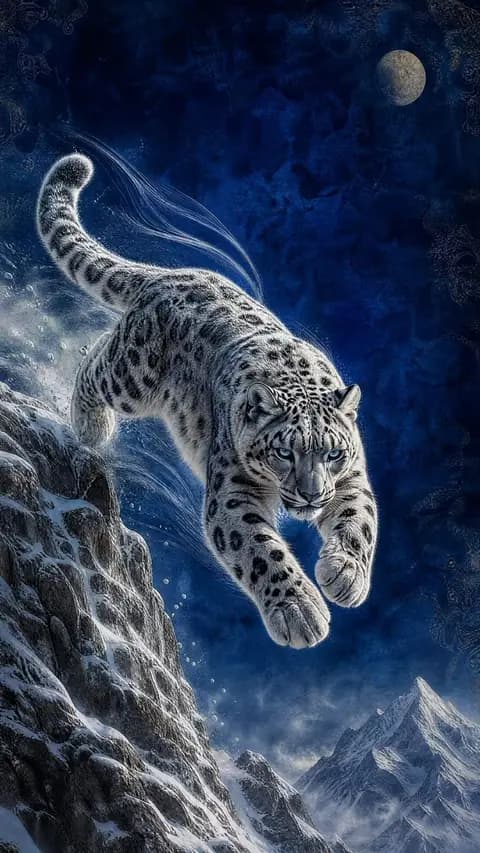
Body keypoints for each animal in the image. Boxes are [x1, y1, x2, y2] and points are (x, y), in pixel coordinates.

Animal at [37, 153, 378, 649]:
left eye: (332, 453)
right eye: (283, 452)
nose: (312, 495)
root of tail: (170, 273)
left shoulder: (351, 478)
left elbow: (359, 520)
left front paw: (346, 574)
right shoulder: (233, 493)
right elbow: (260, 550)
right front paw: (299, 610)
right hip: (133, 376)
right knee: (95, 363)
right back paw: (91, 427)